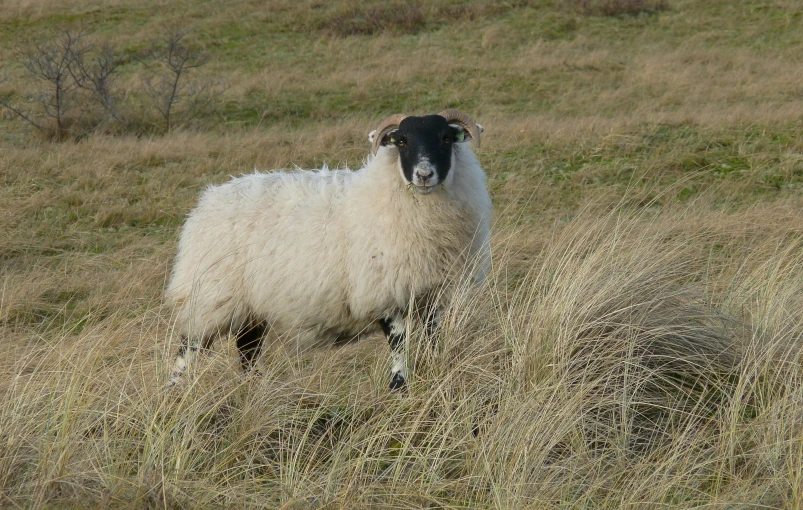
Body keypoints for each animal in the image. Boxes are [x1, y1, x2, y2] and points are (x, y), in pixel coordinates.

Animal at [166, 108, 494, 390]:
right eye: (402, 141)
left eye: (446, 138)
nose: (424, 175)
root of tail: (206, 202)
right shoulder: (382, 290)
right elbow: (399, 347)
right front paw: (399, 388)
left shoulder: (430, 294)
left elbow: (432, 340)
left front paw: (434, 373)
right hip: (208, 297)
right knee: (187, 351)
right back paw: (175, 392)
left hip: (250, 308)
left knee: (248, 353)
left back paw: (258, 392)